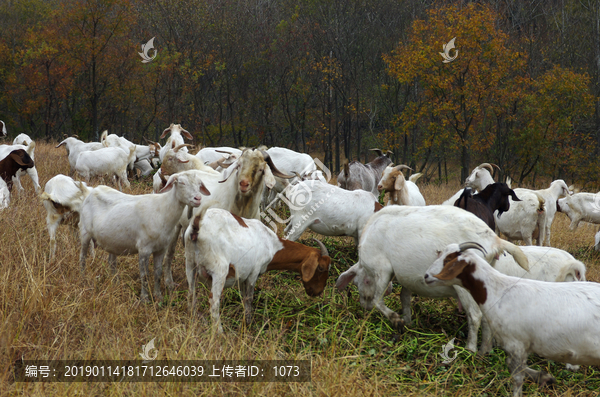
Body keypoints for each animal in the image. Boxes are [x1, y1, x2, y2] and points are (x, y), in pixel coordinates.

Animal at [78, 169, 212, 300]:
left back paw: (115, 282)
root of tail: (92, 190)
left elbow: (158, 273)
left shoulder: (161, 249)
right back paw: (83, 277)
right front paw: (145, 298)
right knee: (82, 257)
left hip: (112, 240)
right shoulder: (144, 249)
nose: (198, 198)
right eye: (181, 183)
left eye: (199, 184)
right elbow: (145, 275)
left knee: (111, 261)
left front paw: (158, 297)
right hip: (85, 232)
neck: (162, 210)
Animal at [185, 207, 330, 332]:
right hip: (219, 271)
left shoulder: (243, 277)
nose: (317, 292)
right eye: (321, 267)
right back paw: (220, 333)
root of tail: (197, 227)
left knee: (191, 294)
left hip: (190, 265)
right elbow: (249, 299)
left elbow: (244, 298)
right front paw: (248, 324)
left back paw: (192, 320)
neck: (272, 244)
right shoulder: (253, 273)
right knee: (214, 302)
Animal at [338, 203, 528, 352]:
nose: (364, 307)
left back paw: (470, 349)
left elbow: (378, 299)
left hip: (464, 286)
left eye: (361, 282)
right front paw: (408, 321)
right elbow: (404, 297)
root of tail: (495, 241)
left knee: (475, 315)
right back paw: (484, 351)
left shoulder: (382, 268)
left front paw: (397, 321)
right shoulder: (407, 277)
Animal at [424, 243, 600, 394]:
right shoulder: (516, 345)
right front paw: (544, 377)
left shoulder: (517, 343)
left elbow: (517, 377)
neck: (498, 290)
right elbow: (511, 365)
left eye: (448, 260)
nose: (426, 276)